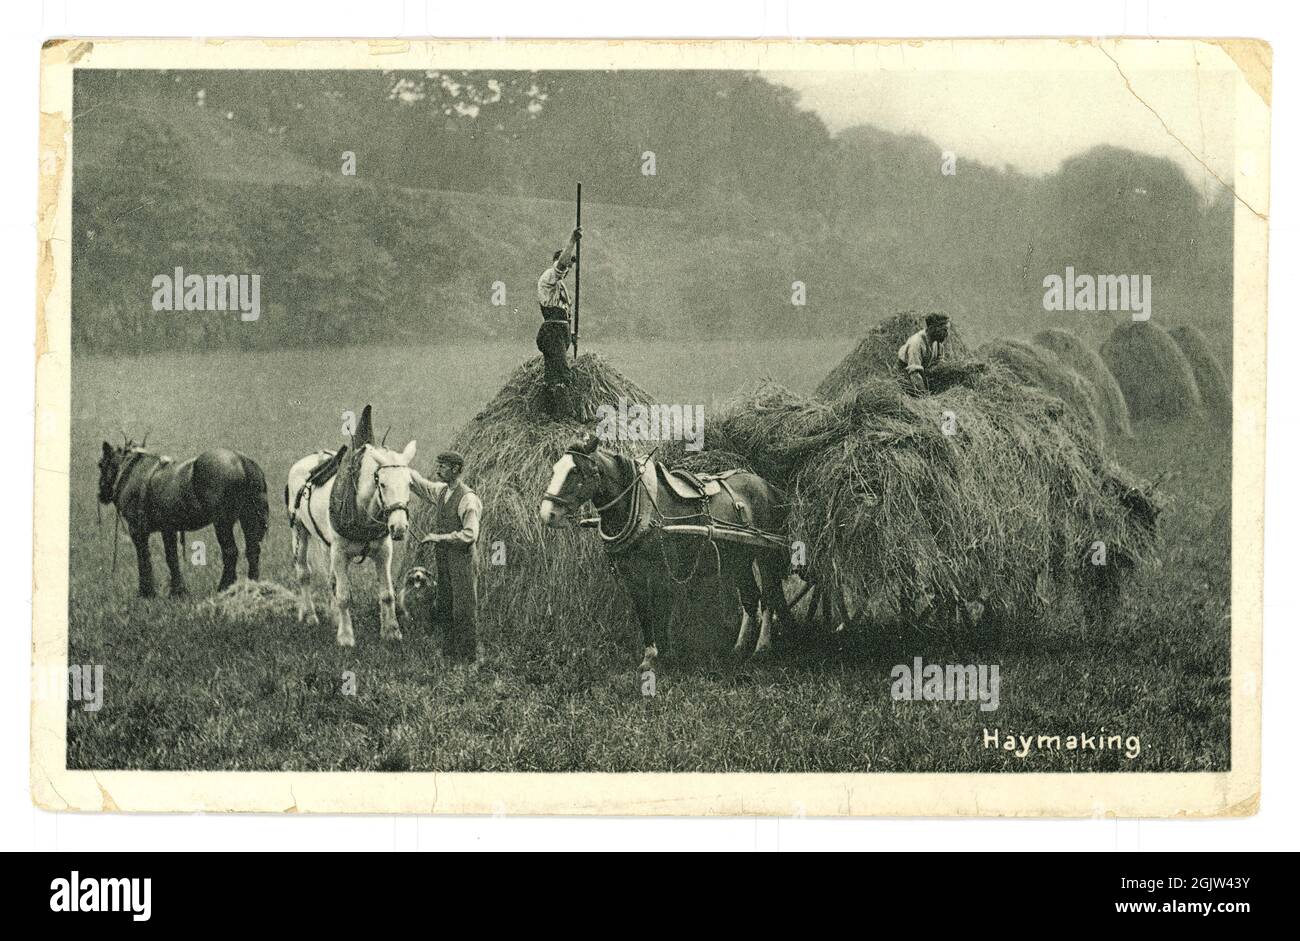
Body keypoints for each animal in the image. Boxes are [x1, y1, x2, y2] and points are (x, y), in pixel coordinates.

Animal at [98, 439, 269, 595]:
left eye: (100, 464)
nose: (101, 494)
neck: (131, 471)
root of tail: (241, 460)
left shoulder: (137, 531)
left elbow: (144, 559)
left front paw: (146, 592)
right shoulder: (168, 529)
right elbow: (172, 558)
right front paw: (177, 591)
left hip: (222, 523)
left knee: (230, 552)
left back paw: (224, 587)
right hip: (248, 518)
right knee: (252, 550)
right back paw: (252, 587)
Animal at [286, 441, 416, 647]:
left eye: (409, 484)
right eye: (382, 483)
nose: (399, 527)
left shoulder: (383, 553)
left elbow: (387, 594)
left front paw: (391, 632)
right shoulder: (340, 554)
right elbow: (344, 596)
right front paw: (346, 636)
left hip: (325, 543)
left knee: (331, 579)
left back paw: (334, 617)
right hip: (299, 530)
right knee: (304, 573)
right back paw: (310, 616)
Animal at [538, 434, 790, 675]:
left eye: (575, 471)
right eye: (555, 469)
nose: (547, 514)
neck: (641, 505)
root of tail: (769, 488)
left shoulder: (662, 574)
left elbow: (661, 612)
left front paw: (665, 656)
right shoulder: (632, 576)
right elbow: (644, 613)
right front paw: (649, 657)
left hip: (766, 554)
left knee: (769, 598)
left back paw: (761, 649)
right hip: (740, 558)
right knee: (751, 599)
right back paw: (739, 649)